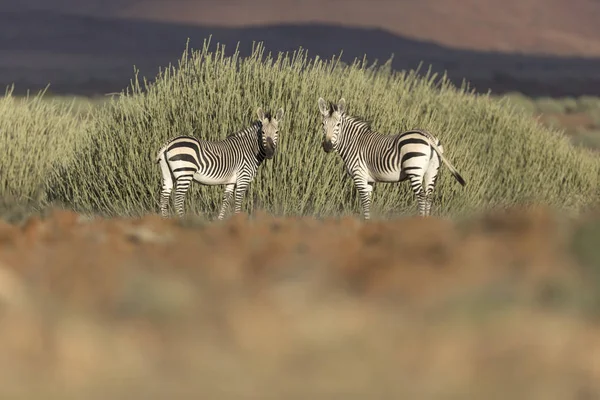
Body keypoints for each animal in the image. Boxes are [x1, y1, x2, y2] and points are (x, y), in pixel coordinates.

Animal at [156, 107, 284, 219]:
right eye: (263, 132)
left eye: (277, 132)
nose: (270, 153)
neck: (250, 149)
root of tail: (168, 143)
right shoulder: (243, 178)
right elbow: (238, 203)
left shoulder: (231, 181)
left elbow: (226, 201)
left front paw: (220, 221)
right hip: (185, 173)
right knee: (178, 200)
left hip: (168, 174)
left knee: (163, 199)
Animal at [316, 98, 466, 220]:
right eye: (323, 124)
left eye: (338, 125)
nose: (327, 146)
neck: (353, 142)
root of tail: (427, 135)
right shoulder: (369, 180)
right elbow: (368, 203)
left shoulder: (359, 176)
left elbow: (364, 203)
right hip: (432, 171)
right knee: (429, 196)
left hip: (414, 170)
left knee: (421, 197)